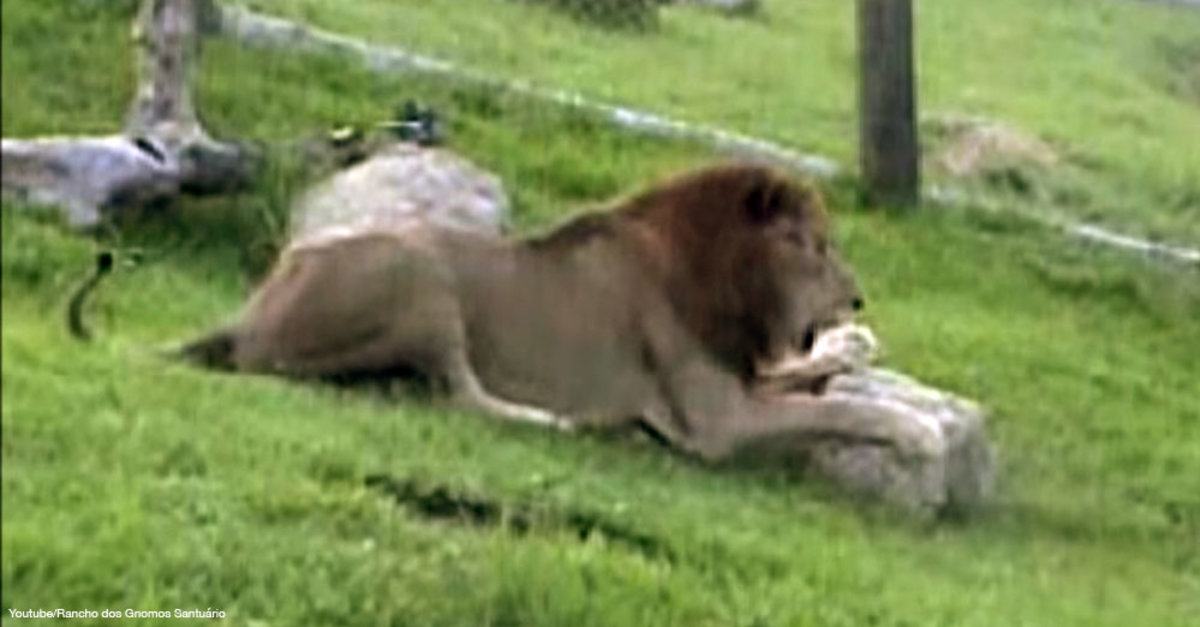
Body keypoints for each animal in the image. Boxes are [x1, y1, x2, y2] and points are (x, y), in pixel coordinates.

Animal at [182, 163, 940, 461]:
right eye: (814, 245)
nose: (857, 296)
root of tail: (249, 315)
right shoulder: (713, 420)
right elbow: (839, 408)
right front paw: (917, 431)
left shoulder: (733, 373)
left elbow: (810, 373)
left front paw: (854, 343)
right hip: (423, 273)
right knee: (456, 392)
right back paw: (558, 421)